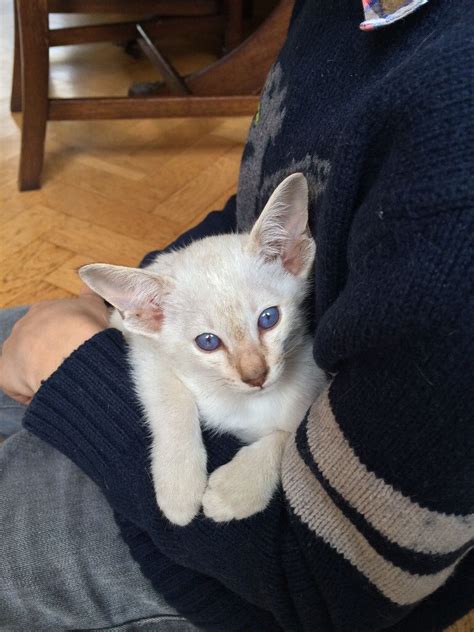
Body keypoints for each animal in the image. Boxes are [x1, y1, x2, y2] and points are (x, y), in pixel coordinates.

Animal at [79, 173, 328, 524]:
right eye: (208, 342)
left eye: (269, 318)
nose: (256, 375)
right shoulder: (144, 349)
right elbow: (172, 402)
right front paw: (180, 489)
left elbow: (292, 435)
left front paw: (235, 491)